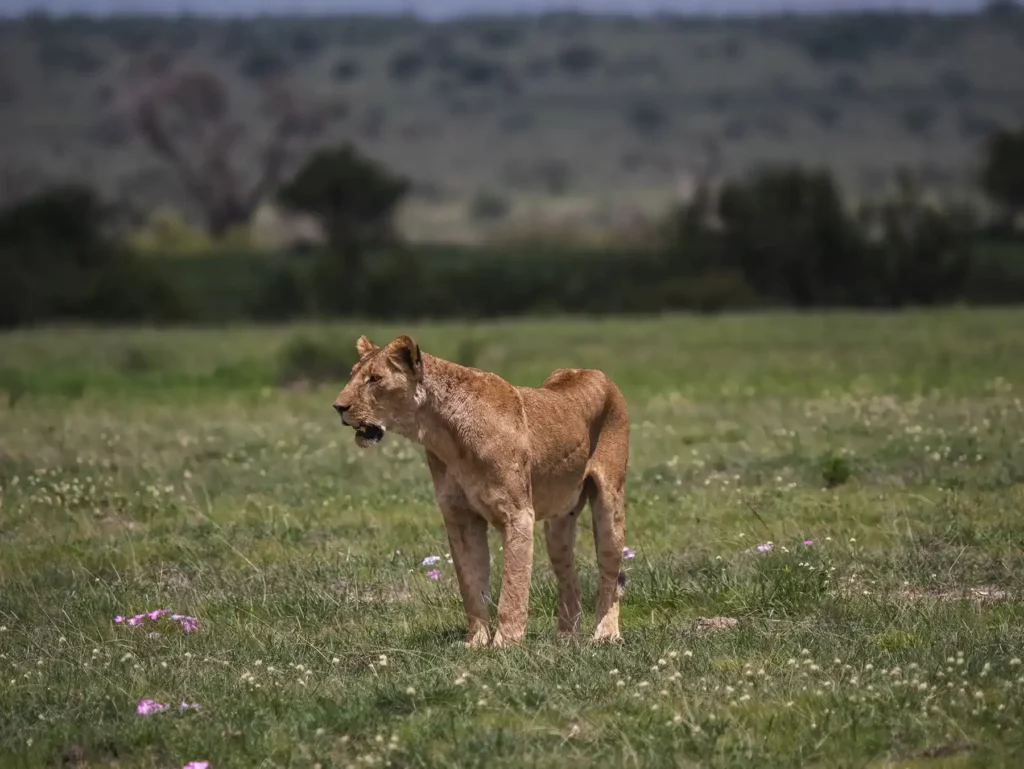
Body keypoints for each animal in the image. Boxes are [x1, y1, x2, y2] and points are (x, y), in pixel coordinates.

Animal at [333, 334, 629, 647]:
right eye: (352, 375)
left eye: (375, 379)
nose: (338, 407)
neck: (442, 434)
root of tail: (592, 372)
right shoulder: (460, 517)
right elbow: (471, 585)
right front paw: (475, 643)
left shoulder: (518, 514)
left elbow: (512, 586)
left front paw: (505, 645)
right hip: (558, 525)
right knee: (569, 577)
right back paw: (565, 638)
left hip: (609, 505)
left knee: (610, 574)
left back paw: (605, 635)